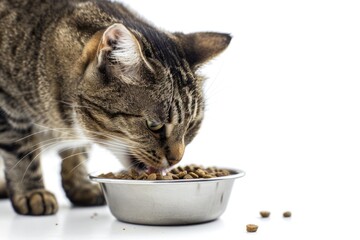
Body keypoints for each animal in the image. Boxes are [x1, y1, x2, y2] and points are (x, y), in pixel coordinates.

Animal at [0, 0, 231, 216]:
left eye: (191, 125)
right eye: (154, 126)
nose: (177, 159)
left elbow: (79, 152)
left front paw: (80, 186)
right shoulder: (9, 109)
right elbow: (21, 155)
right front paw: (32, 193)